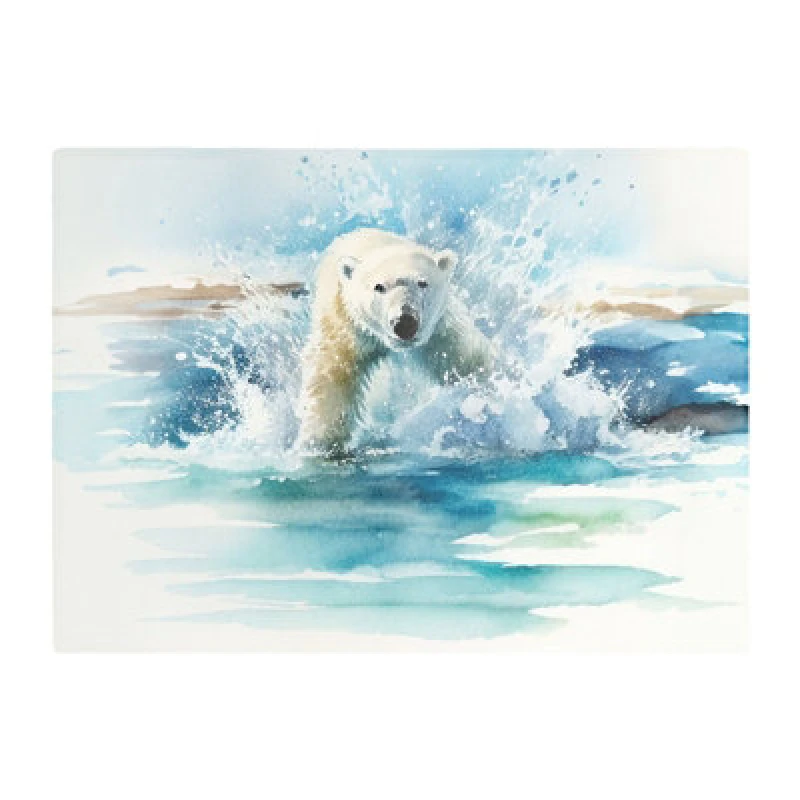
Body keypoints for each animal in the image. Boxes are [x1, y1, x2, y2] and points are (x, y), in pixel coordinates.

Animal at [296, 228, 493, 456]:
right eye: (379, 287)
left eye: (422, 283)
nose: (405, 323)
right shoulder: (346, 326)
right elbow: (330, 380)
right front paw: (320, 443)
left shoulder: (440, 331)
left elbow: (466, 360)